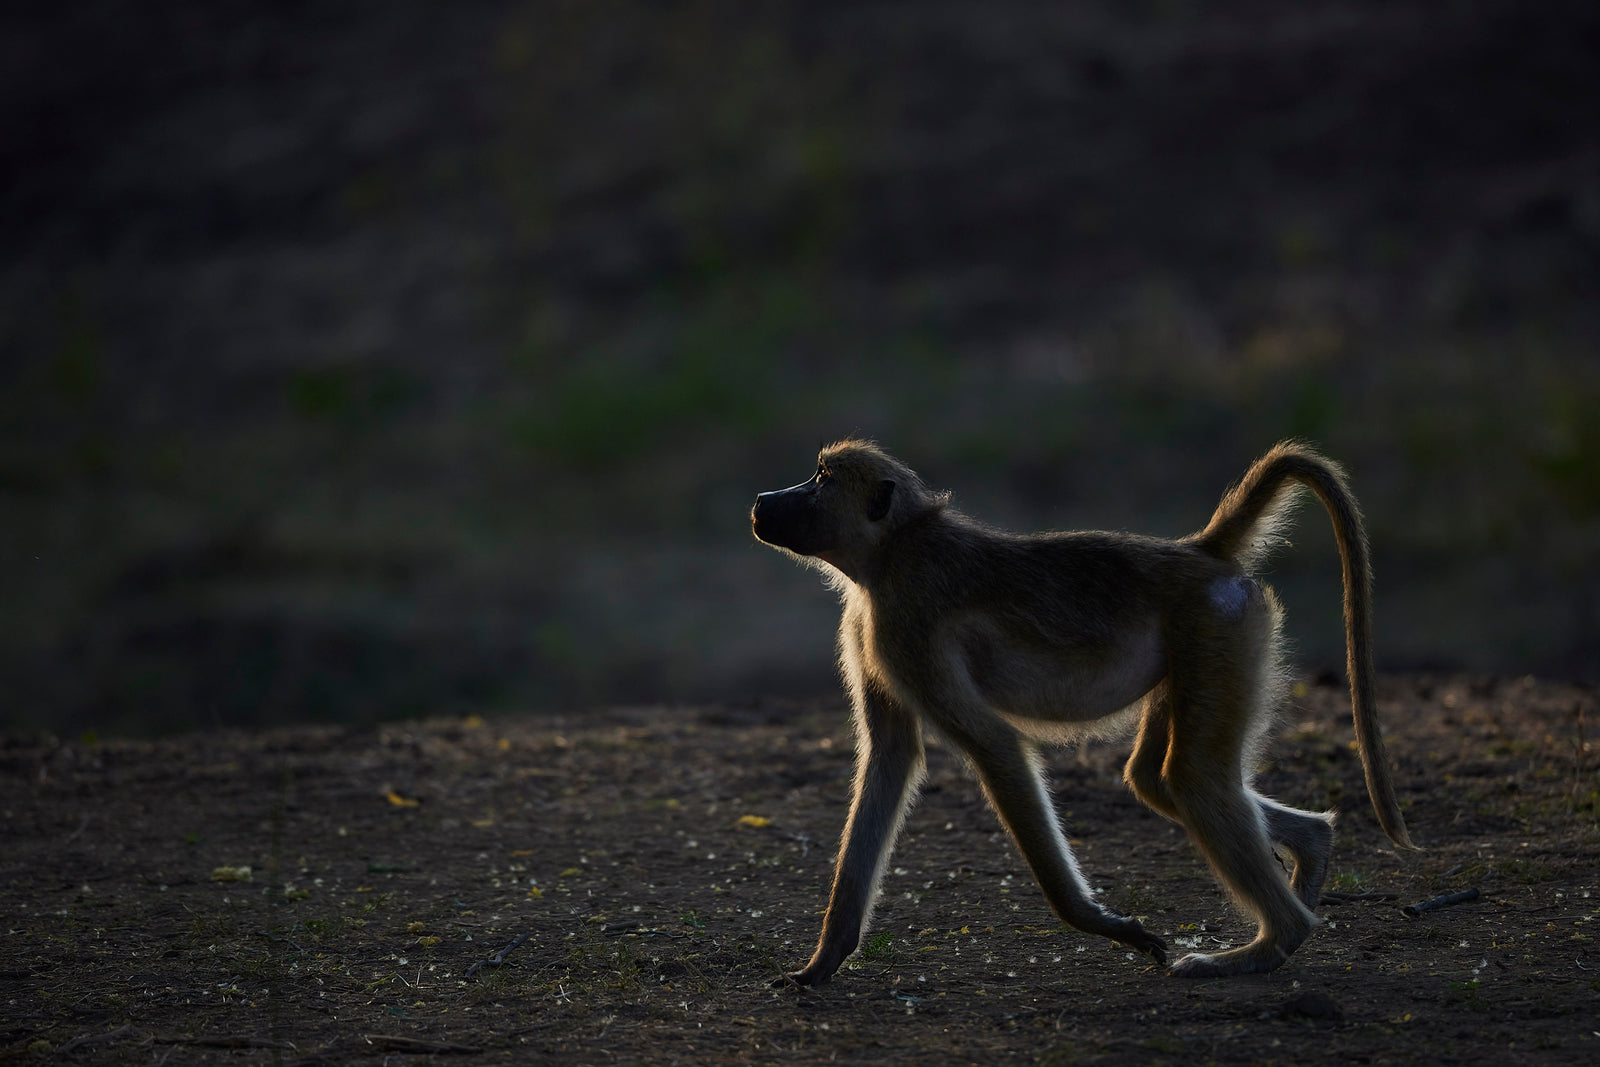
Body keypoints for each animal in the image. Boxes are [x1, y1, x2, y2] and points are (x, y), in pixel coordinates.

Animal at [750, 439, 1415, 982]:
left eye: (820, 479)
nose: (763, 499)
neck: (891, 552)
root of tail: (1199, 553)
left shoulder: (904, 625)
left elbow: (995, 746)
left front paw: (1101, 924)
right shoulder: (872, 628)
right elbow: (890, 756)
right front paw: (824, 961)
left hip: (1219, 628)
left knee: (1191, 779)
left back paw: (1269, 944)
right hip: (1207, 644)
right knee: (1156, 778)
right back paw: (1312, 854)